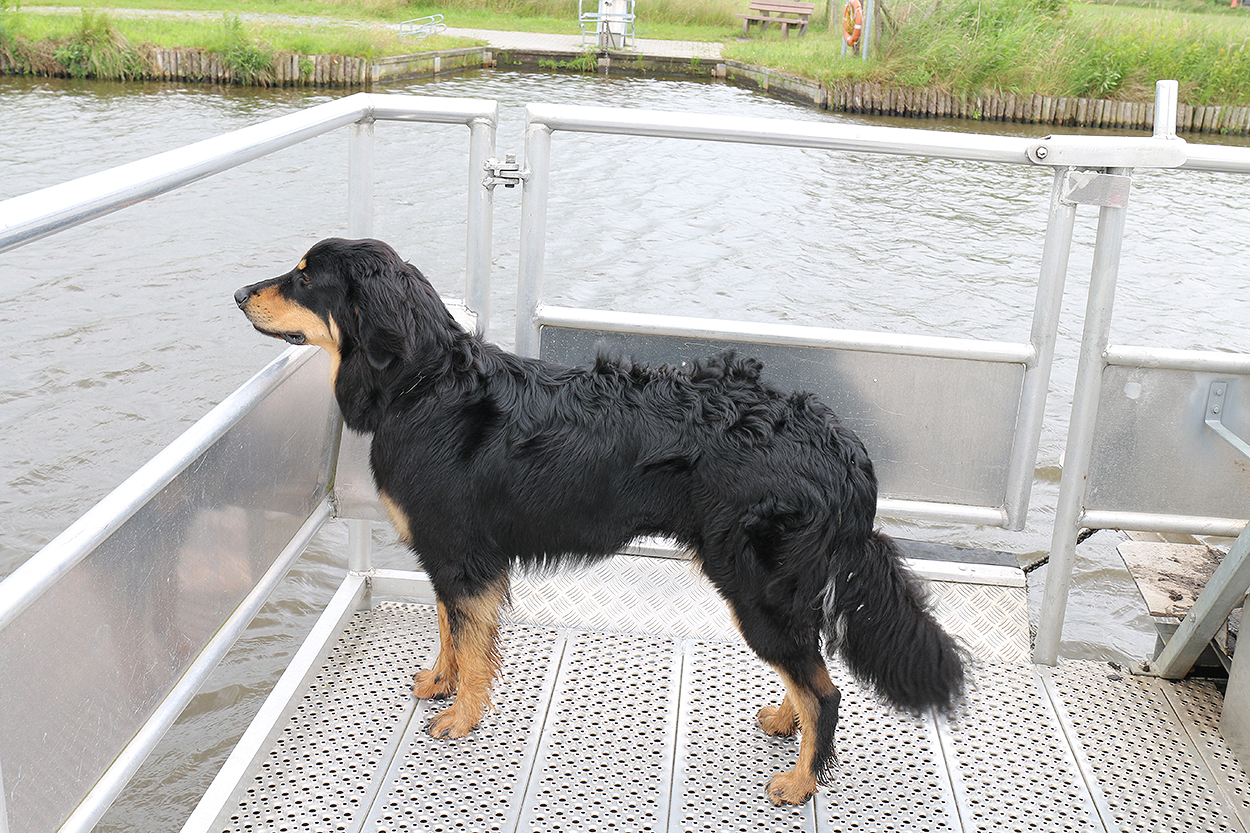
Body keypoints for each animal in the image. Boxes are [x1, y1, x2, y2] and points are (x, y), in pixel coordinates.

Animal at [235, 237, 966, 806]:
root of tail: (841, 446)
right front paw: (439, 683)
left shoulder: (464, 557)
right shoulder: (447, 557)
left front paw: (461, 716)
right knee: (809, 673)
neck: (425, 385)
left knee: (825, 689)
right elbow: (449, 630)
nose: (241, 292)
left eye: (304, 277)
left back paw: (800, 781)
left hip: (754, 587)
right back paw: (785, 720)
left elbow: (472, 644)